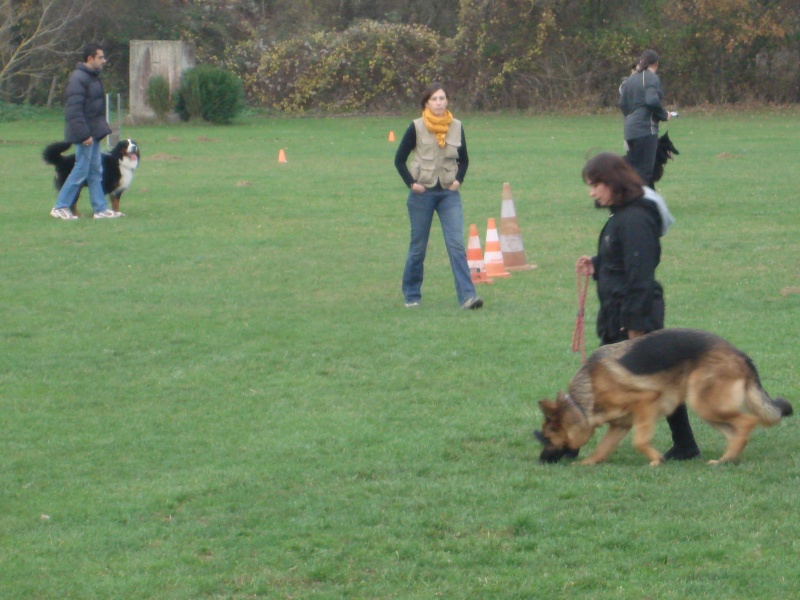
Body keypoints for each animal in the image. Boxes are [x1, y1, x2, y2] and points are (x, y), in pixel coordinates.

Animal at [536, 328, 792, 464]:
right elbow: (602, 449)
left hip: (704, 404)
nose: (540, 461)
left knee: (747, 422)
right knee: (736, 433)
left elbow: (639, 441)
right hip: (709, 409)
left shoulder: (645, 403)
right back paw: (725, 460)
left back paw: (725, 459)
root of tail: (741, 355)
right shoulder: (619, 425)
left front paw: (656, 461)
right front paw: (587, 463)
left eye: (548, 438)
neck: (582, 403)